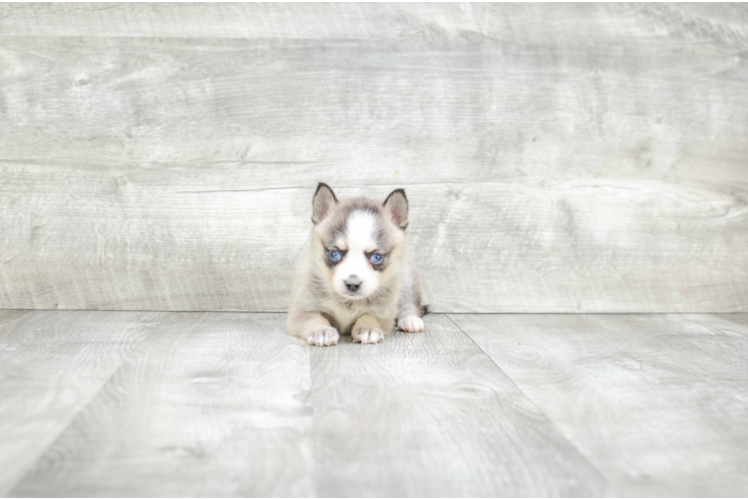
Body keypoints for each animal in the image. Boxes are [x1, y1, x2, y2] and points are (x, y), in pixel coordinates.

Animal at [288, 182, 430, 346]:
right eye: (334, 254)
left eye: (376, 257)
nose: (352, 284)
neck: (348, 302)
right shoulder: (301, 310)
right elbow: (313, 318)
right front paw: (321, 330)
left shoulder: (384, 313)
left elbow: (370, 316)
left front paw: (368, 327)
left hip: (407, 276)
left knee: (410, 302)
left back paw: (410, 320)